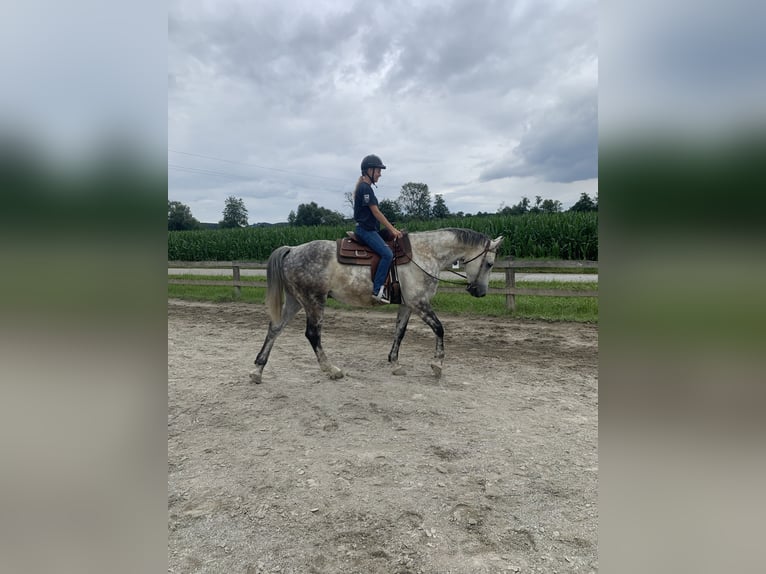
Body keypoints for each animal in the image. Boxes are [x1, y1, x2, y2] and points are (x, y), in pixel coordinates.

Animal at [250, 227, 504, 384]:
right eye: (489, 264)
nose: (480, 292)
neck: (425, 254)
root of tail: (292, 250)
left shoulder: (407, 305)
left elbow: (399, 332)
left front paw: (395, 363)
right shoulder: (419, 303)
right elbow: (440, 329)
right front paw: (437, 365)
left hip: (295, 301)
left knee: (275, 328)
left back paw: (257, 370)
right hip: (314, 301)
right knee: (312, 334)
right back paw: (331, 370)